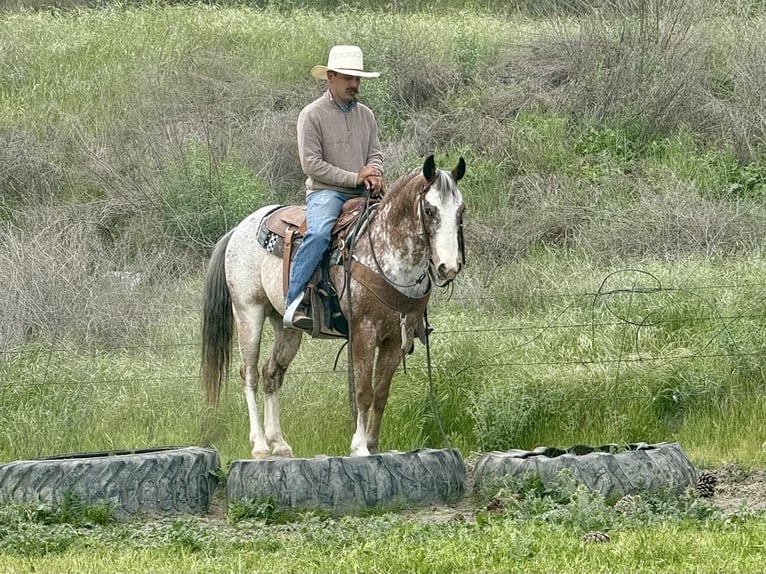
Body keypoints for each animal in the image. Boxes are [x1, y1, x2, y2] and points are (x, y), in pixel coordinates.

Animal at [201, 155, 466, 458]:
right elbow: (363, 391)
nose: (449, 267)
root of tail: (239, 229)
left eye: (461, 210)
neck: (388, 255)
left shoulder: (396, 339)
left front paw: (373, 445)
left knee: (272, 373)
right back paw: (259, 445)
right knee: (250, 374)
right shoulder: (364, 332)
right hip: (249, 312)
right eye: (430, 210)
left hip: (285, 327)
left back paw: (278, 442)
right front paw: (359, 447)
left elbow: (381, 393)